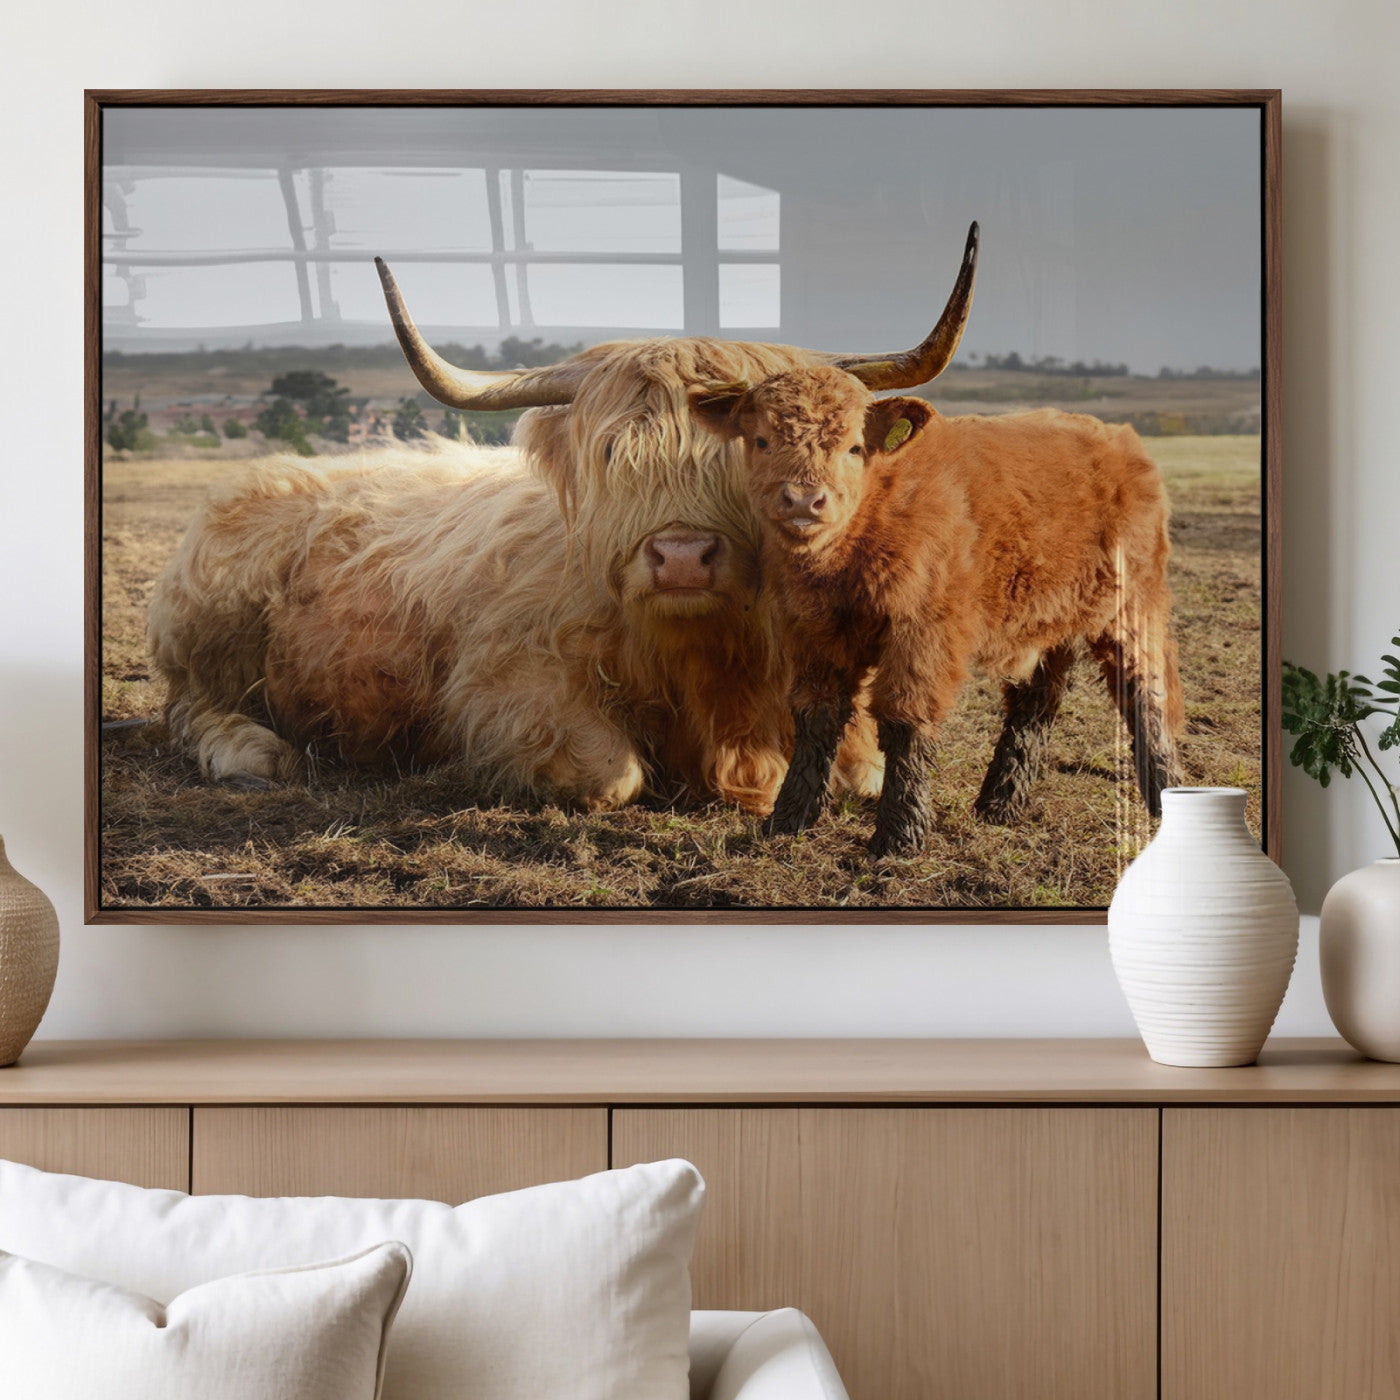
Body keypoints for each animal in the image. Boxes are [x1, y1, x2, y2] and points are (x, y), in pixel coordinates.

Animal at [147, 227, 981, 815]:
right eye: (613, 451)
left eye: (754, 447)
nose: (682, 557)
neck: (709, 662)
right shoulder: (502, 686)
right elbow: (610, 774)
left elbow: (863, 769)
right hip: (212, 628)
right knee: (190, 708)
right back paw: (253, 755)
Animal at [689, 363, 1184, 855]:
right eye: (761, 440)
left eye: (853, 446)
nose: (804, 501)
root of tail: (1119, 438)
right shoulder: (814, 631)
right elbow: (817, 716)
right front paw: (788, 821)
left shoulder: (922, 632)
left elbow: (904, 721)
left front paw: (899, 835)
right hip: (1046, 620)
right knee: (1036, 703)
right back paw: (1000, 804)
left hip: (1133, 607)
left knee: (1145, 692)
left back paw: (1165, 792)